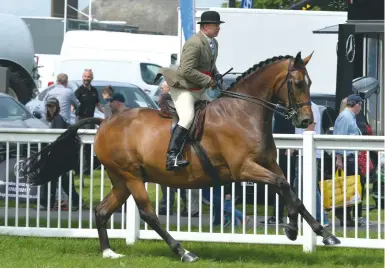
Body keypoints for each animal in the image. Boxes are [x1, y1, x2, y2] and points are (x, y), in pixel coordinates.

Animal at [21, 51, 340, 260]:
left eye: (310, 83)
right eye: (298, 83)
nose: (306, 121)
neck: (245, 112)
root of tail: (105, 121)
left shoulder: (269, 163)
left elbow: (293, 192)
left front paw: (318, 232)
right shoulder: (244, 168)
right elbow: (283, 186)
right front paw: (296, 229)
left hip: (121, 180)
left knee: (102, 210)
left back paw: (109, 252)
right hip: (131, 176)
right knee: (149, 214)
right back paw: (183, 251)